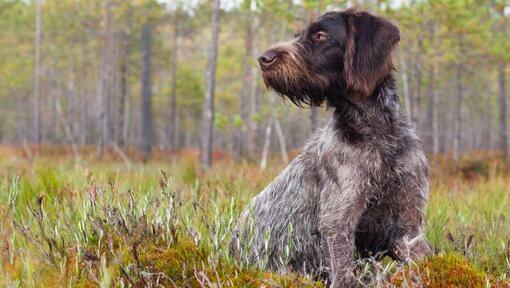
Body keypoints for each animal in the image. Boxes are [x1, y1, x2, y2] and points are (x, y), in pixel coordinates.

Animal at [231, 7, 430, 286]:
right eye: (299, 35)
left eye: (320, 35)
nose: (264, 58)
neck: (377, 135)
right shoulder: (338, 220)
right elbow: (344, 273)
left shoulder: (410, 222)